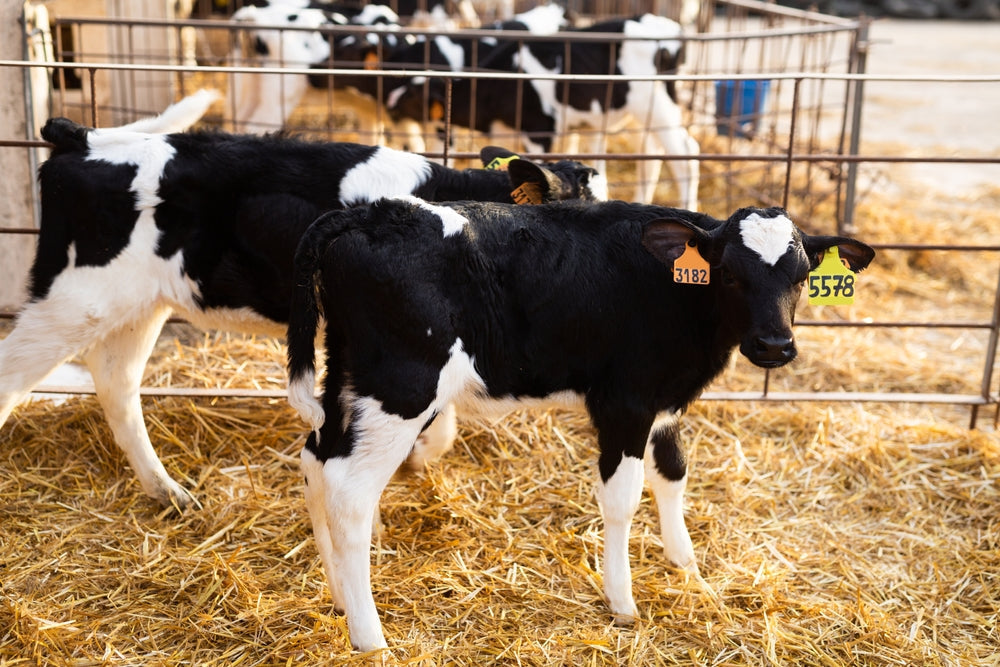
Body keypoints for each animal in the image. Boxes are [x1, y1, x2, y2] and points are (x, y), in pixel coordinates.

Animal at [0, 95, 605, 511]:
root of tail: (83, 137)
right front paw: (415, 455)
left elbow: (445, 418)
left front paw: (417, 456)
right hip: (75, 297)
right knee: (16, 377)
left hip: (139, 301)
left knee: (117, 381)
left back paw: (168, 491)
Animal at [285, 197, 875, 650]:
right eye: (729, 273)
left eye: (802, 276)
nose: (775, 345)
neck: (677, 293)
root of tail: (369, 213)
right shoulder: (625, 401)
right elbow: (622, 497)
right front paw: (623, 601)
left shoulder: (664, 401)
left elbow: (672, 473)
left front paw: (687, 566)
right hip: (402, 385)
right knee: (349, 491)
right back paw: (370, 637)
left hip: (347, 376)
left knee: (316, 459)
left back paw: (339, 598)